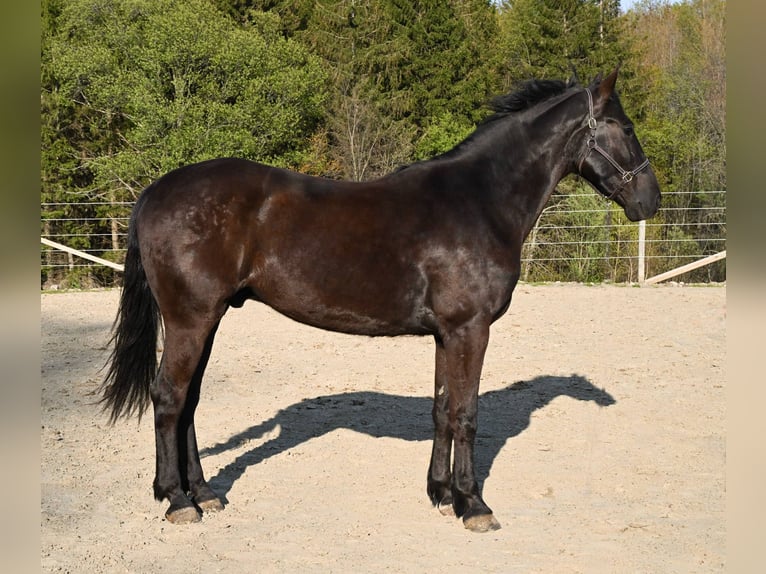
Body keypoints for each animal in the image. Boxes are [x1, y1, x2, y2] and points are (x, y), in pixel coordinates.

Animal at [99, 67, 660, 532]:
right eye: (626, 128)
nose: (649, 201)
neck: (481, 201)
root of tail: (156, 191)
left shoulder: (447, 334)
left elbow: (442, 409)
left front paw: (441, 494)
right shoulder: (471, 329)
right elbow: (467, 414)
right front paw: (473, 505)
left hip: (207, 320)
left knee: (189, 400)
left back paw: (205, 493)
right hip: (191, 319)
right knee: (169, 397)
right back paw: (177, 500)